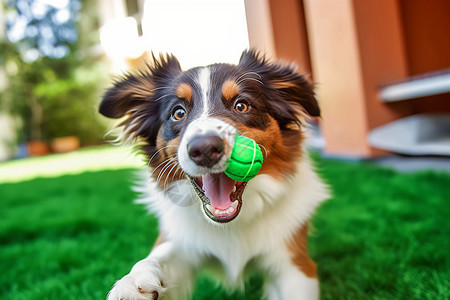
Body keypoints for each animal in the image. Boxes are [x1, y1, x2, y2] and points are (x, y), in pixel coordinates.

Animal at [100, 50, 328, 298]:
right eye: (178, 113)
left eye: (241, 105)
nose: (205, 149)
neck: (230, 225)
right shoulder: (183, 241)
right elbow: (161, 254)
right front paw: (133, 282)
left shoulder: (295, 266)